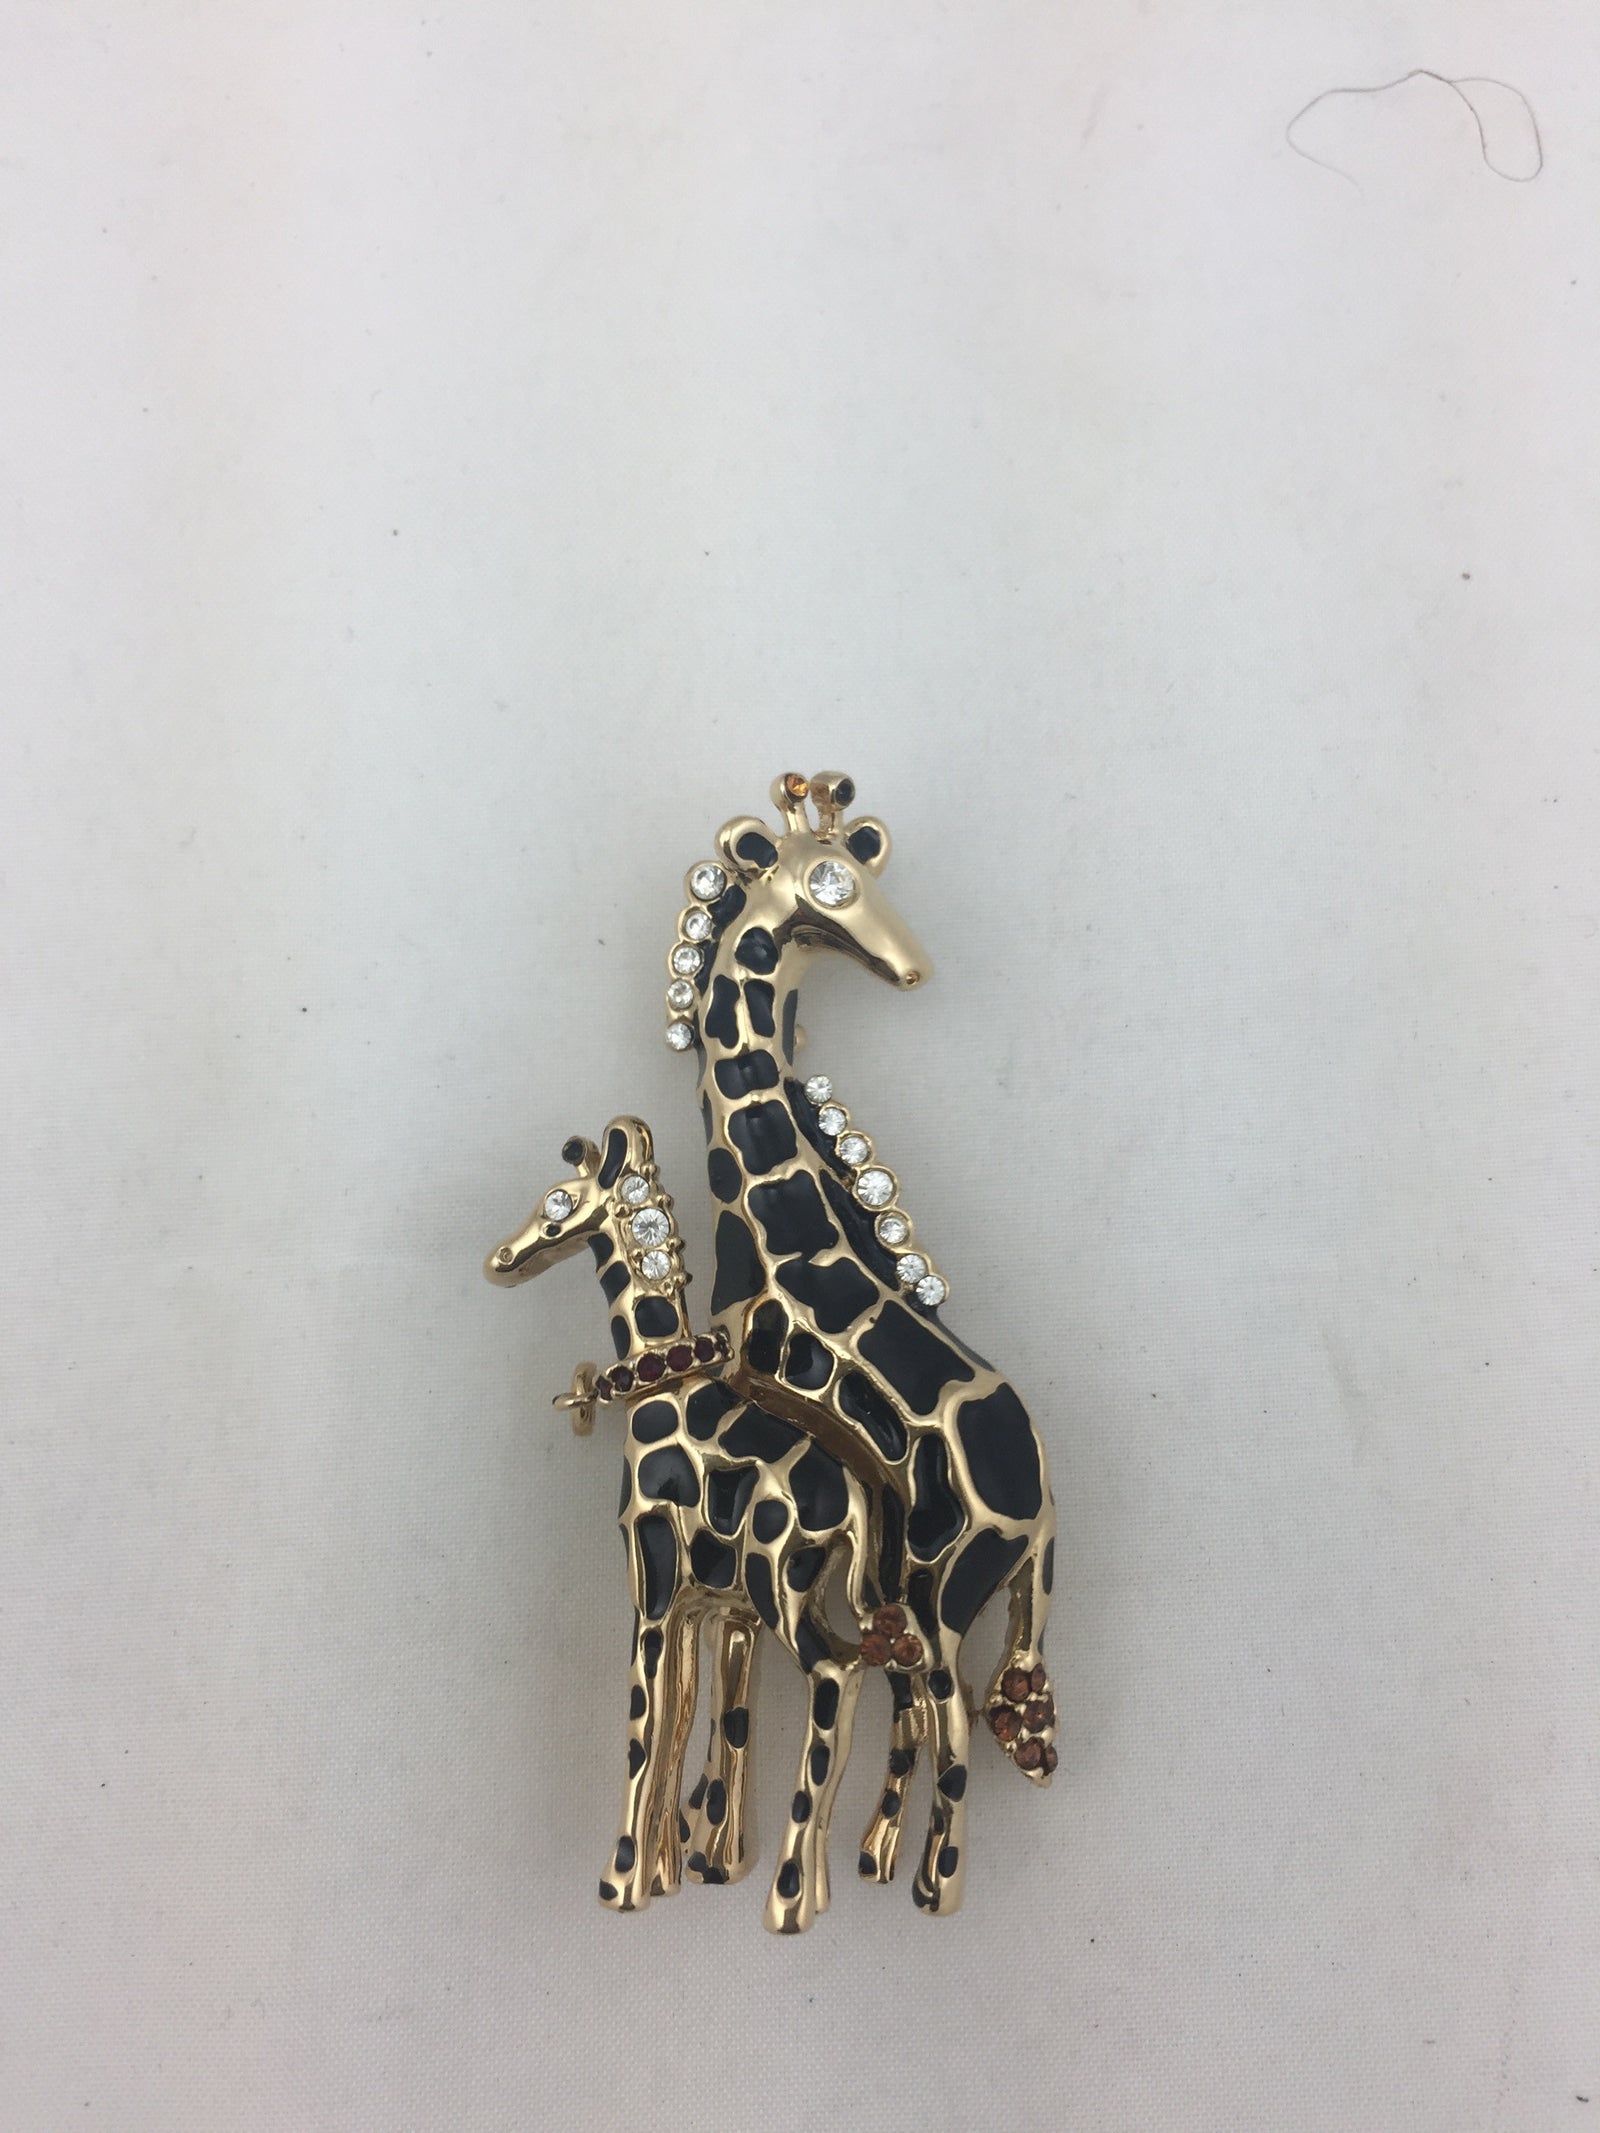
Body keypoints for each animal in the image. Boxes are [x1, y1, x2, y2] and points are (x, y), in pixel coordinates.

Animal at [486, 1116, 882, 1934]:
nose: (500, 1260)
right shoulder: (718, 1607)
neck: (660, 1384)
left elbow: (646, 1717)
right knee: (848, 1676)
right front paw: (697, 1864)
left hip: (782, 1587)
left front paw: (622, 1879)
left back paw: (788, 1899)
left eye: (556, 1203)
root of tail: (856, 1501)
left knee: (838, 1675)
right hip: (782, 1593)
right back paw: (810, 1887)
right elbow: (703, 1715)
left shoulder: (655, 1577)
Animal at [660, 771, 1059, 1915]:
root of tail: (1043, 1509)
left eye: (860, 882)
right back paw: (878, 1858)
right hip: (944, 1591)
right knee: (928, 1704)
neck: (771, 1231)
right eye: (823, 892)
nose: (911, 965)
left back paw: (924, 1886)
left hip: (942, 1584)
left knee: (949, 1716)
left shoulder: (747, 1379)